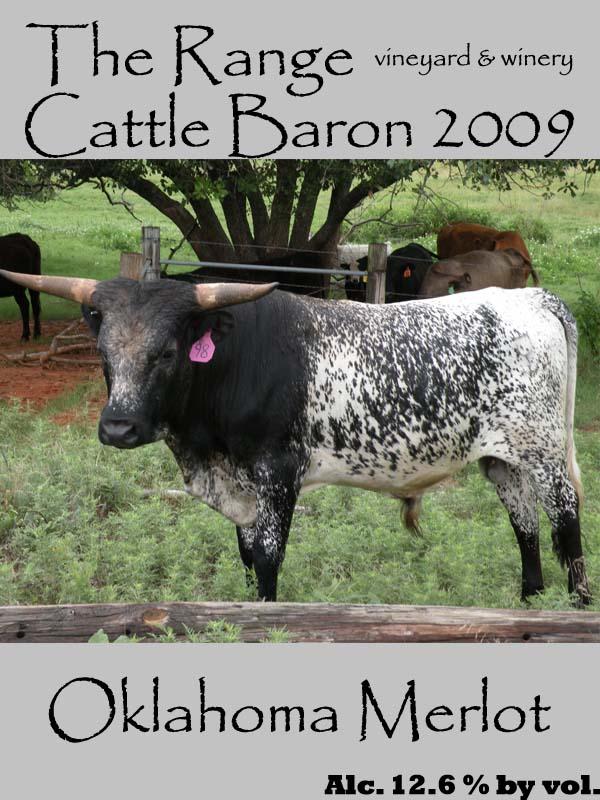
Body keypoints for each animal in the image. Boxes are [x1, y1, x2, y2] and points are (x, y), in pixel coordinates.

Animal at [0, 268, 590, 606]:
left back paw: (576, 606)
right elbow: (245, 557)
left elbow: (266, 558)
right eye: (102, 351)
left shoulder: (277, 475)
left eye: (166, 352)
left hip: (544, 453)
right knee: (525, 526)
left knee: (565, 523)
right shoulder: (239, 487)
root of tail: (533, 298)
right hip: (503, 458)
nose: (118, 427)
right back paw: (529, 604)